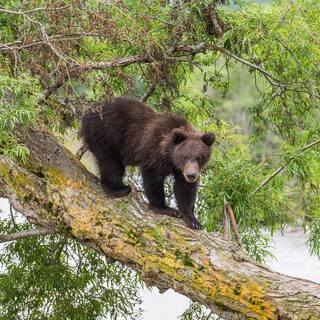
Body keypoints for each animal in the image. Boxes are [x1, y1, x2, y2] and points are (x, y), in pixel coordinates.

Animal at [80, 96, 215, 229]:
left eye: (199, 157)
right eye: (185, 156)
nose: (191, 175)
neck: (169, 156)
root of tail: (89, 110)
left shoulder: (181, 170)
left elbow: (185, 189)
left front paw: (193, 221)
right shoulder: (153, 154)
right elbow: (153, 180)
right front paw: (165, 208)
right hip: (107, 135)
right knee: (110, 164)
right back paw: (118, 189)